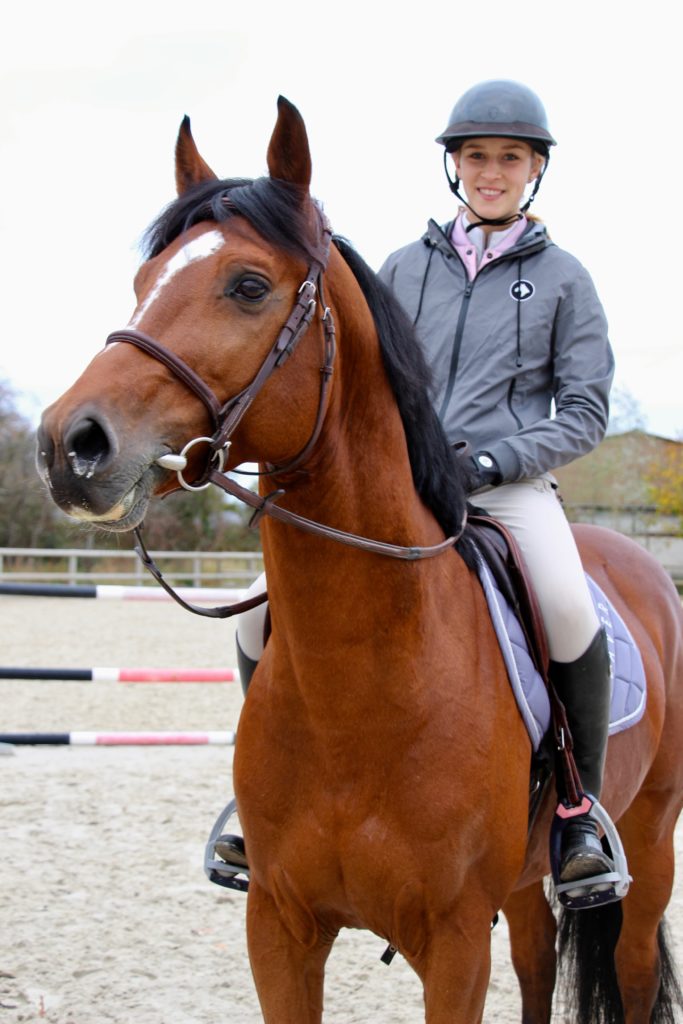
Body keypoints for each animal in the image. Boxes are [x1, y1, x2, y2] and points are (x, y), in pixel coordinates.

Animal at [37, 97, 683, 1024]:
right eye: (143, 281)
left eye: (247, 285)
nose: (70, 445)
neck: (363, 689)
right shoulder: (279, 927)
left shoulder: (452, 943)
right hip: (523, 888)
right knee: (534, 962)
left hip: (649, 838)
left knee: (628, 969)